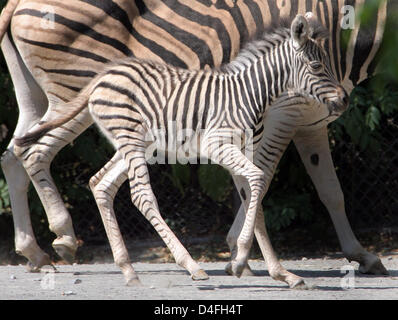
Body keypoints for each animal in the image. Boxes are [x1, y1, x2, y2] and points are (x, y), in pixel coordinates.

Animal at [0, 0, 392, 284]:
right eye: (315, 68)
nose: (342, 102)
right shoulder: (244, 136)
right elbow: (261, 183)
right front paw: (243, 259)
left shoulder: (253, 144)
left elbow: (263, 193)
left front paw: (271, 267)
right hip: (80, 98)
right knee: (60, 162)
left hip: (120, 135)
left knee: (81, 176)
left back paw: (112, 265)